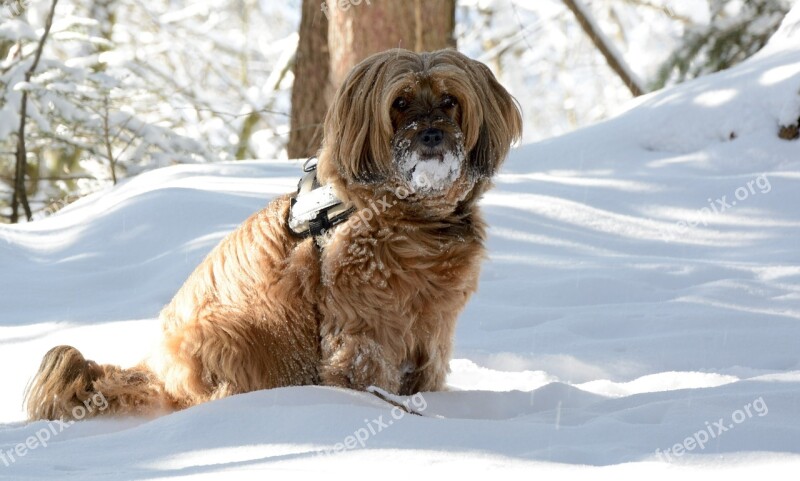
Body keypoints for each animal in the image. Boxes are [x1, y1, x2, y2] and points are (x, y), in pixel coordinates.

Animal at [23, 47, 520, 418]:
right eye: (399, 103)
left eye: (450, 100)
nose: (432, 135)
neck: (411, 215)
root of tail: (154, 367)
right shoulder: (363, 324)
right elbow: (362, 372)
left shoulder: (433, 327)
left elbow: (427, 369)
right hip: (232, 333)